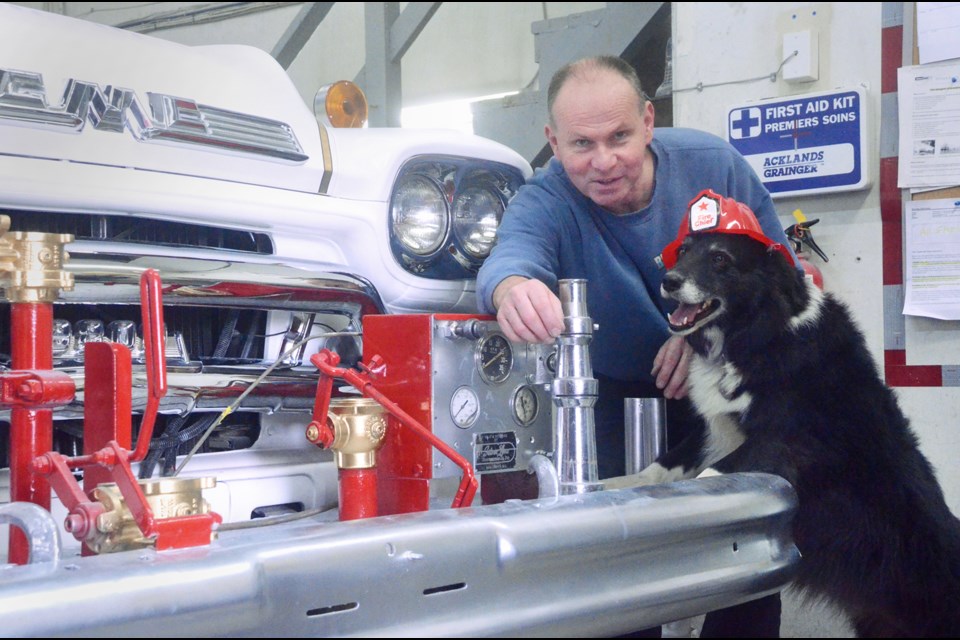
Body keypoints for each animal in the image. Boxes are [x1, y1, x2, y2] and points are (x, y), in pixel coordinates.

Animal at [636, 189, 960, 636]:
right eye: (682, 251)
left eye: (720, 259)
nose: (669, 281)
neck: (754, 335)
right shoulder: (715, 427)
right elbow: (663, 466)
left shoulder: (797, 440)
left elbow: (717, 472)